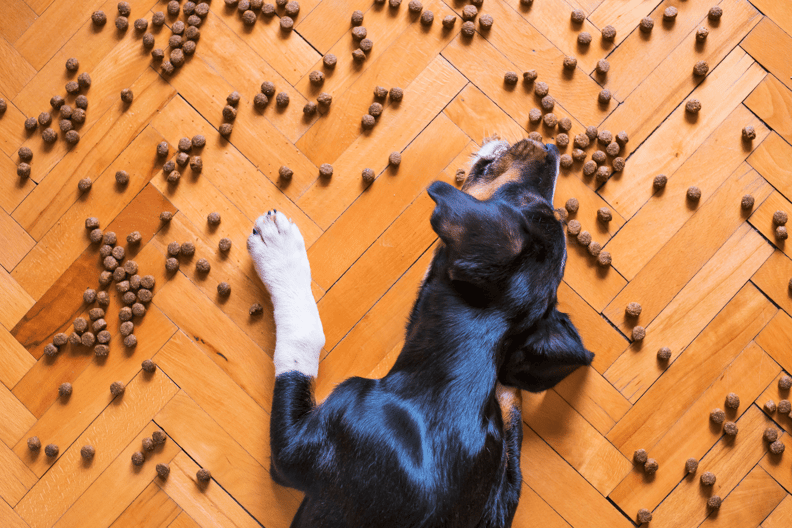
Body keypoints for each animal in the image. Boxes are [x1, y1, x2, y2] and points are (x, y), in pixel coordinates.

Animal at [248, 138, 592, 524]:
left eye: (521, 200)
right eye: (539, 205)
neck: (448, 382)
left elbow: (303, 340)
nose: (548, 148)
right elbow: (510, 429)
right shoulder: (501, 491)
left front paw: (278, 250)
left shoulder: (294, 451)